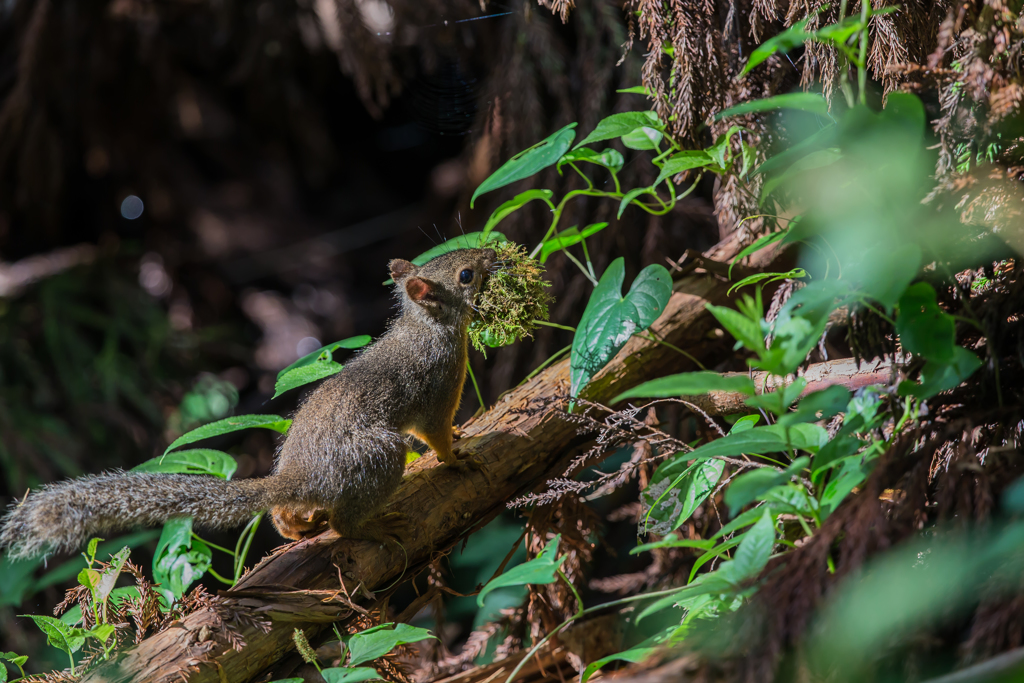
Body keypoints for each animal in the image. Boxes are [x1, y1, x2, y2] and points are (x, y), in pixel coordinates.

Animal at [0, 248, 495, 557]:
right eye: (466, 275)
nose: (492, 254)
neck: (427, 328)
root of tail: (299, 475)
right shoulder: (437, 391)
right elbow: (435, 436)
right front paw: (458, 457)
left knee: (285, 514)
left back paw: (296, 523)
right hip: (379, 457)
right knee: (344, 524)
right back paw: (369, 526)